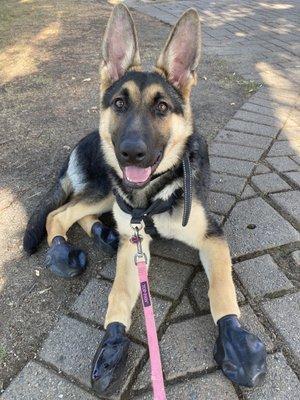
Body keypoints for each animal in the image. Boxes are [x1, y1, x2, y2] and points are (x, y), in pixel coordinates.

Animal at [24, 4, 268, 396]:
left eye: (163, 107)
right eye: (120, 103)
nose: (131, 153)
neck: (151, 197)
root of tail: (83, 140)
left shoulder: (211, 237)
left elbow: (221, 288)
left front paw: (235, 340)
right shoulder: (134, 244)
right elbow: (120, 294)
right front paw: (113, 343)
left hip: (108, 196)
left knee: (76, 214)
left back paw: (102, 234)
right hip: (106, 188)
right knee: (58, 215)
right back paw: (63, 251)